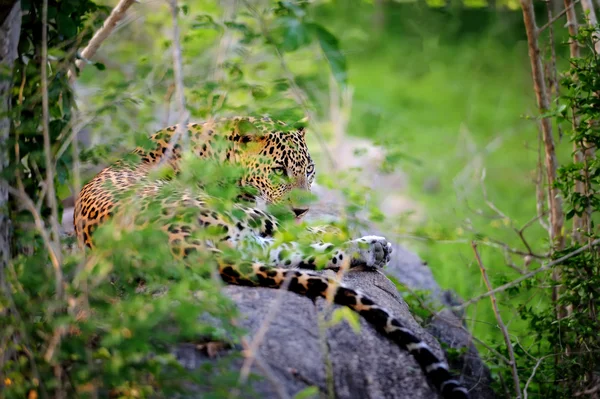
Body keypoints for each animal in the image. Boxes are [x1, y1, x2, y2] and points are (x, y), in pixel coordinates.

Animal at [74, 116, 468, 399]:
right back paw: (367, 244)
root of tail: (170, 241)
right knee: (301, 244)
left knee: (299, 254)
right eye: (278, 170)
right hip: (240, 220)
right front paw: (325, 224)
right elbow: (306, 231)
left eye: (308, 170)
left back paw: (370, 248)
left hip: (245, 241)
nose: (301, 209)